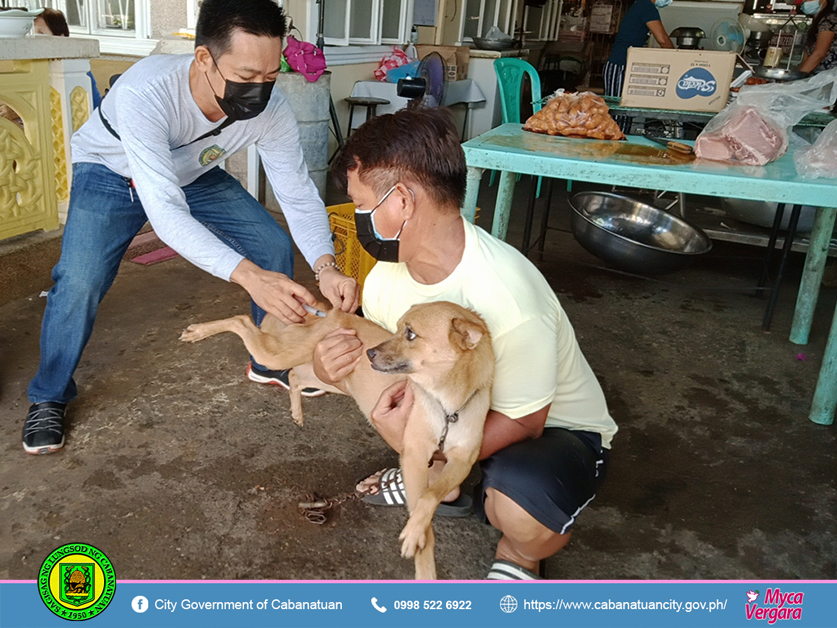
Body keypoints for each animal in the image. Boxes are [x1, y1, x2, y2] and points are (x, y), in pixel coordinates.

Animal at [176, 300, 490, 580]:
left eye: (410, 333)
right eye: (398, 327)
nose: (370, 353)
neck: (447, 407)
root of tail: (333, 313)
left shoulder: (463, 460)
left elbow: (432, 495)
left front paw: (417, 530)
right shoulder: (414, 455)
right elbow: (423, 510)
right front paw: (420, 551)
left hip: (332, 376)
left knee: (295, 375)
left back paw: (297, 411)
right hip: (280, 355)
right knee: (241, 321)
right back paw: (198, 332)